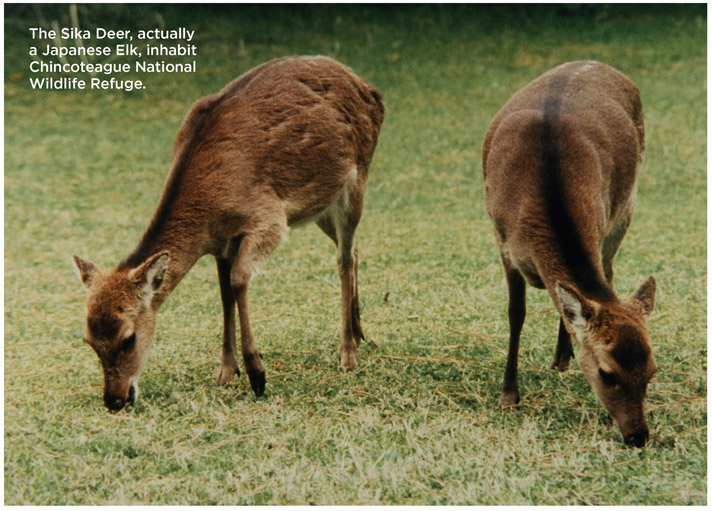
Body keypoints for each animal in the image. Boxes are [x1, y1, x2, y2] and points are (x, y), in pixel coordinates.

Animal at [72, 56, 384, 412]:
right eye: (88, 340)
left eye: (128, 338)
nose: (114, 400)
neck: (209, 211)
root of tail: (369, 88)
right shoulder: (222, 244)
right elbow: (224, 295)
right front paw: (225, 371)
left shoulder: (269, 220)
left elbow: (238, 281)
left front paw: (257, 374)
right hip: (322, 206)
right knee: (354, 249)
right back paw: (359, 331)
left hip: (356, 180)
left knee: (344, 258)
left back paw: (348, 353)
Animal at [482, 61, 660, 448]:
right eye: (607, 373)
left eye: (653, 371)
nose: (638, 435)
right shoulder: (502, 242)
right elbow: (516, 314)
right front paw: (508, 396)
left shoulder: (604, 218)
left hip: (627, 204)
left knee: (605, 273)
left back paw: (563, 357)